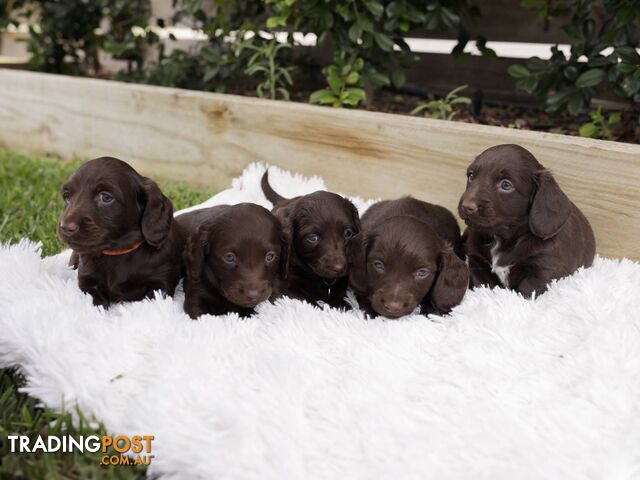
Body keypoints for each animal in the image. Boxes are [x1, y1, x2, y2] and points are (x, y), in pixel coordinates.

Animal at [57, 158, 185, 308]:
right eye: (67, 196)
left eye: (106, 197)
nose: (65, 227)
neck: (116, 253)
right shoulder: (86, 281)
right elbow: (96, 301)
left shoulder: (161, 282)